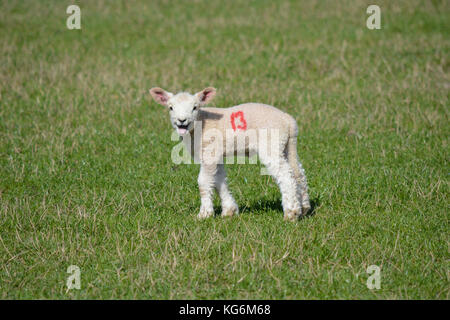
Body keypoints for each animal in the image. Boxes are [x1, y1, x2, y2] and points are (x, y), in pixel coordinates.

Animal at [149, 86, 312, 221]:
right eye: (170, 108)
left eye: (195, 107)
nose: (181, 121)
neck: (200, 123)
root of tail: (288, 120)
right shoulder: (217, 154)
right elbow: (219, 180)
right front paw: (229, 211)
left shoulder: (210, 152)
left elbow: (203, 182)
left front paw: (204, 214)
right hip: (288, 145)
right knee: (298, 173)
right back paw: (304, 208)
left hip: (272, 144)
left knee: (286, 176)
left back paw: (291, 213)